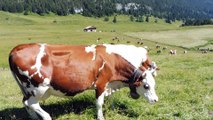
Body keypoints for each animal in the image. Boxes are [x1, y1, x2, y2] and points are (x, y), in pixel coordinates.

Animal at [8, 43, 158, 120]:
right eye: (146, 86)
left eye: (154, 84)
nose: (156, 100)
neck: (111, 61)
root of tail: (16, 49)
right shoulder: (101, 84)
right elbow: (99, 103)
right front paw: (101, 117)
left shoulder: (109, 85)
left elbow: (111, 99)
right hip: (38, 87)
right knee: (31, 103)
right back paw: (46, 116)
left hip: (28, 89)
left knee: (26, 102)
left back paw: (34, 117)